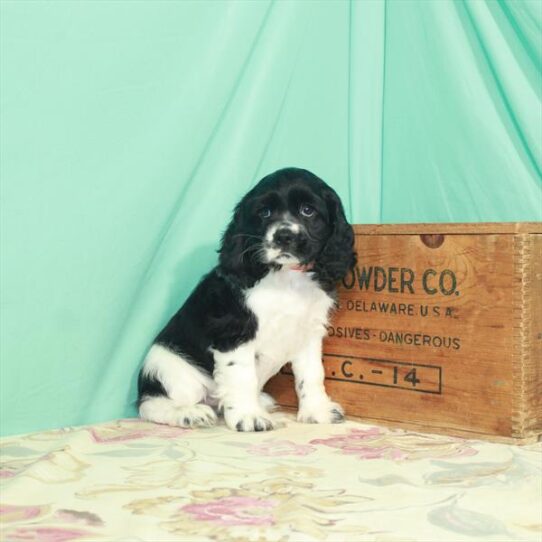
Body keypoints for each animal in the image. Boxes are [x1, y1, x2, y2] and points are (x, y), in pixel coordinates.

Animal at [138, 168, 356, 432]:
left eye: (308, 210)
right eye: (264, 212)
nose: (284, 236)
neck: (286, 278)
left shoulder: (308, 334)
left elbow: (312, 374)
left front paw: (317, 411)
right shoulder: (235, 334)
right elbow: (242, 377)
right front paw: (249, 417)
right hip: (173, 370)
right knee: (150, 404)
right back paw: (189, 413)